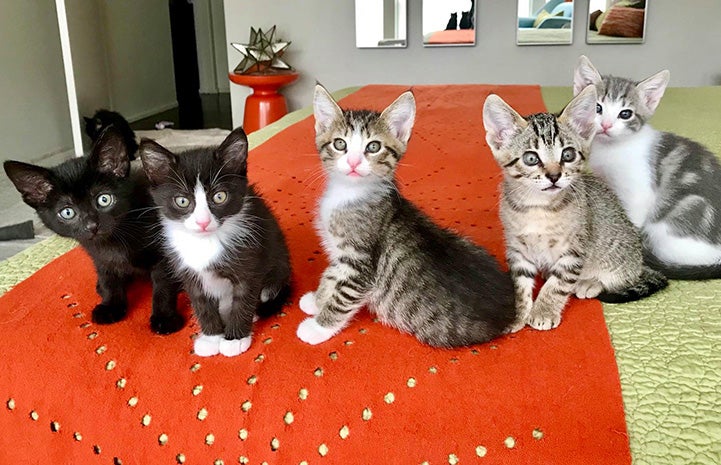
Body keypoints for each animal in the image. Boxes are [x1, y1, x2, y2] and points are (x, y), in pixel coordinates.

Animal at [4, 126, 184, 334]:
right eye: (67, 212)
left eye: (104, 199)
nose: (92, 225)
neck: (112, 243)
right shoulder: (98, 256)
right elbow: (108, 279)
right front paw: (111, 305)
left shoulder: (163, 254)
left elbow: (163, 285)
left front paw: (165, 317)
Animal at [139, 125, 292, 358]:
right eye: (182, 201)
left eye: (219, 196)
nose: (203, 222)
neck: (205, 242)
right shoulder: (189, 273)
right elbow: (201, 303)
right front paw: (211, 338)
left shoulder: (249, 261)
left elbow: (243, 299)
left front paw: (235, 339)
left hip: (278, 269)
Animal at [294, 85, 516, 346]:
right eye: (340, 144)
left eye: (373, 147)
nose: (353, 162)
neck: (347, 193)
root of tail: (509, 308)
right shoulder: (342, 256)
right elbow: (331, 275)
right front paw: (316, 299)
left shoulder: (361, 263)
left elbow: (342, 297)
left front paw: (317, 326)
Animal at [480, 84, 668, 330]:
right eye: (531, 158)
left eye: (568, 155)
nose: (554, 176)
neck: (538, 208)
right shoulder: (517, 249)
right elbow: (519, 285)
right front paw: (517, 313)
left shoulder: (574, 250)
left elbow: (557, 284)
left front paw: (543, 311)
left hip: (619, 256)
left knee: (623, 276)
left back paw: (589, 283)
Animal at [572, 55, 721, 280]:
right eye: (597, 108)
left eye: (625, 114)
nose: (605, 125)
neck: (612, 148)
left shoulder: (638, 194)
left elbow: (631, 219)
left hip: (666, 229)